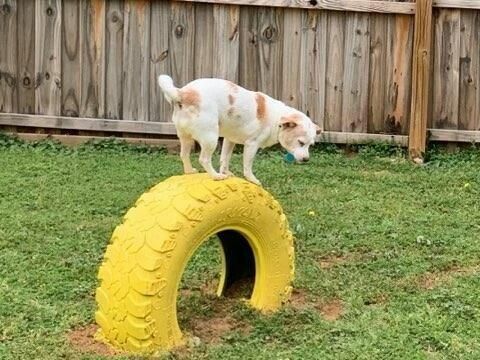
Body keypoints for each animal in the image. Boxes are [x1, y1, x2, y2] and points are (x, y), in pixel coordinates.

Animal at [158, 74, 322, 184]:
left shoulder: (229, 140)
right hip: (210, 138)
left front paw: (226, 171)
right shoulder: (251, 145)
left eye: (311, 145)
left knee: (184, 155)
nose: (306, 159)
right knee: (203, 159)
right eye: (301, 142)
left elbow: (224, 158)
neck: (277, 119)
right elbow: (247, 166)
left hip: (185, 138)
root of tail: (182, 93)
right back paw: (216, 176)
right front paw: (252, 180)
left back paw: (189, 171)